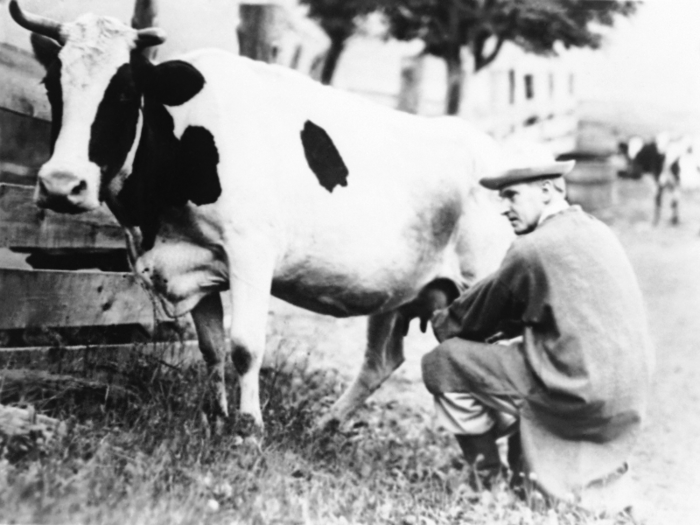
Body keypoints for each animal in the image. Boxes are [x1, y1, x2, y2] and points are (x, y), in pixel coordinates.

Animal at [8, 2, 516, 436]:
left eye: (125, 92)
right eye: (51, 87)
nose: (61, 185)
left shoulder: (250, 252)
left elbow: (245, 347)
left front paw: (249, 428)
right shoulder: (195, 260)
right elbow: (212, 348)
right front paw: (214, 417)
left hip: (483, 294)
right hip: (401, 293)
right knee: (382, 361)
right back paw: (325, 427)